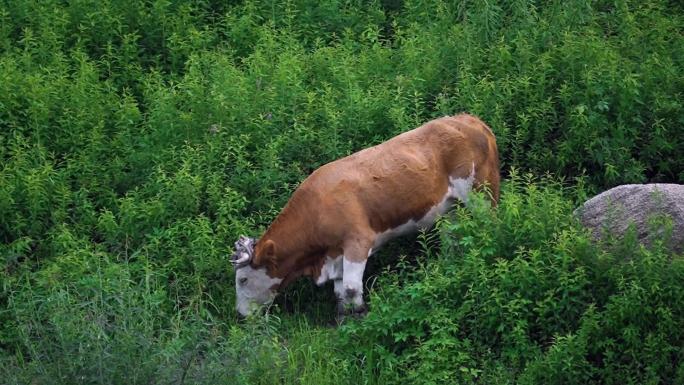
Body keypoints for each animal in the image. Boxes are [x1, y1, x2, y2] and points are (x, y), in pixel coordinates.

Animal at [230, 112, 496, 316]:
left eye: (242, 279)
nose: (240, 314)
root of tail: (468, 119)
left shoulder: (357, 240)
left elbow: (350, 289)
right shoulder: (335, 254)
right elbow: (341, 294)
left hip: (481, 192)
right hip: (451, 207)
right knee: (453, 238)